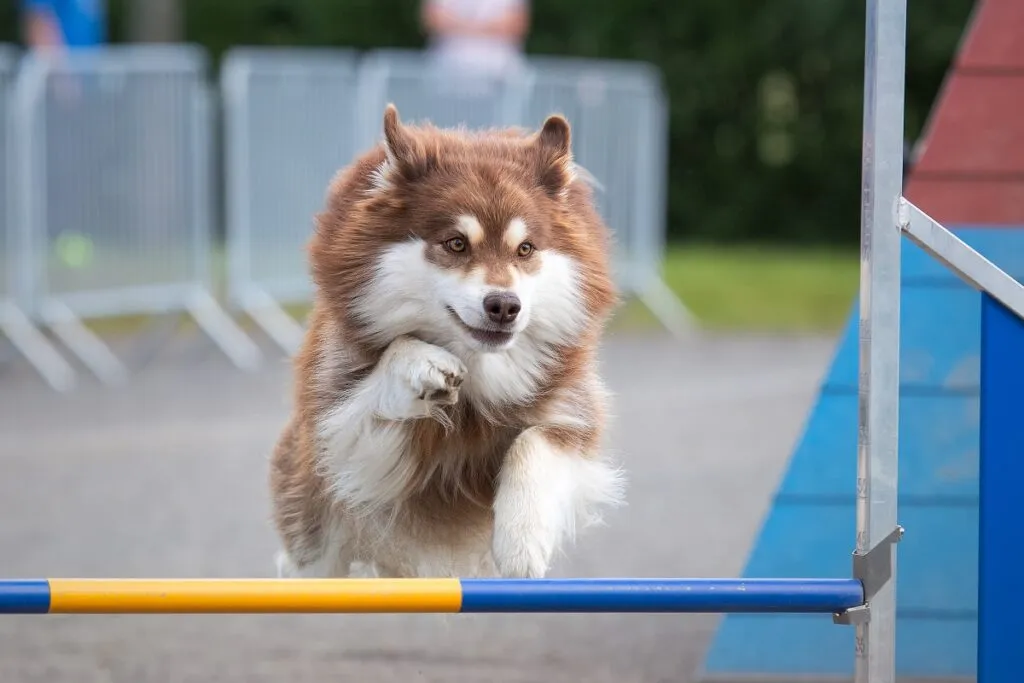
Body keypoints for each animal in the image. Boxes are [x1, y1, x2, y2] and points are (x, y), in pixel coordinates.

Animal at [268, 104, 622, 581]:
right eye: (456, 244)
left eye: (525, 249)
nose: (504, 306)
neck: (480, 375)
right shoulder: (339, 432)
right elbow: (377, 387)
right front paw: (421, 365)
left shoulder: (572, 408)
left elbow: (534, 443)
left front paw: (521, 540)